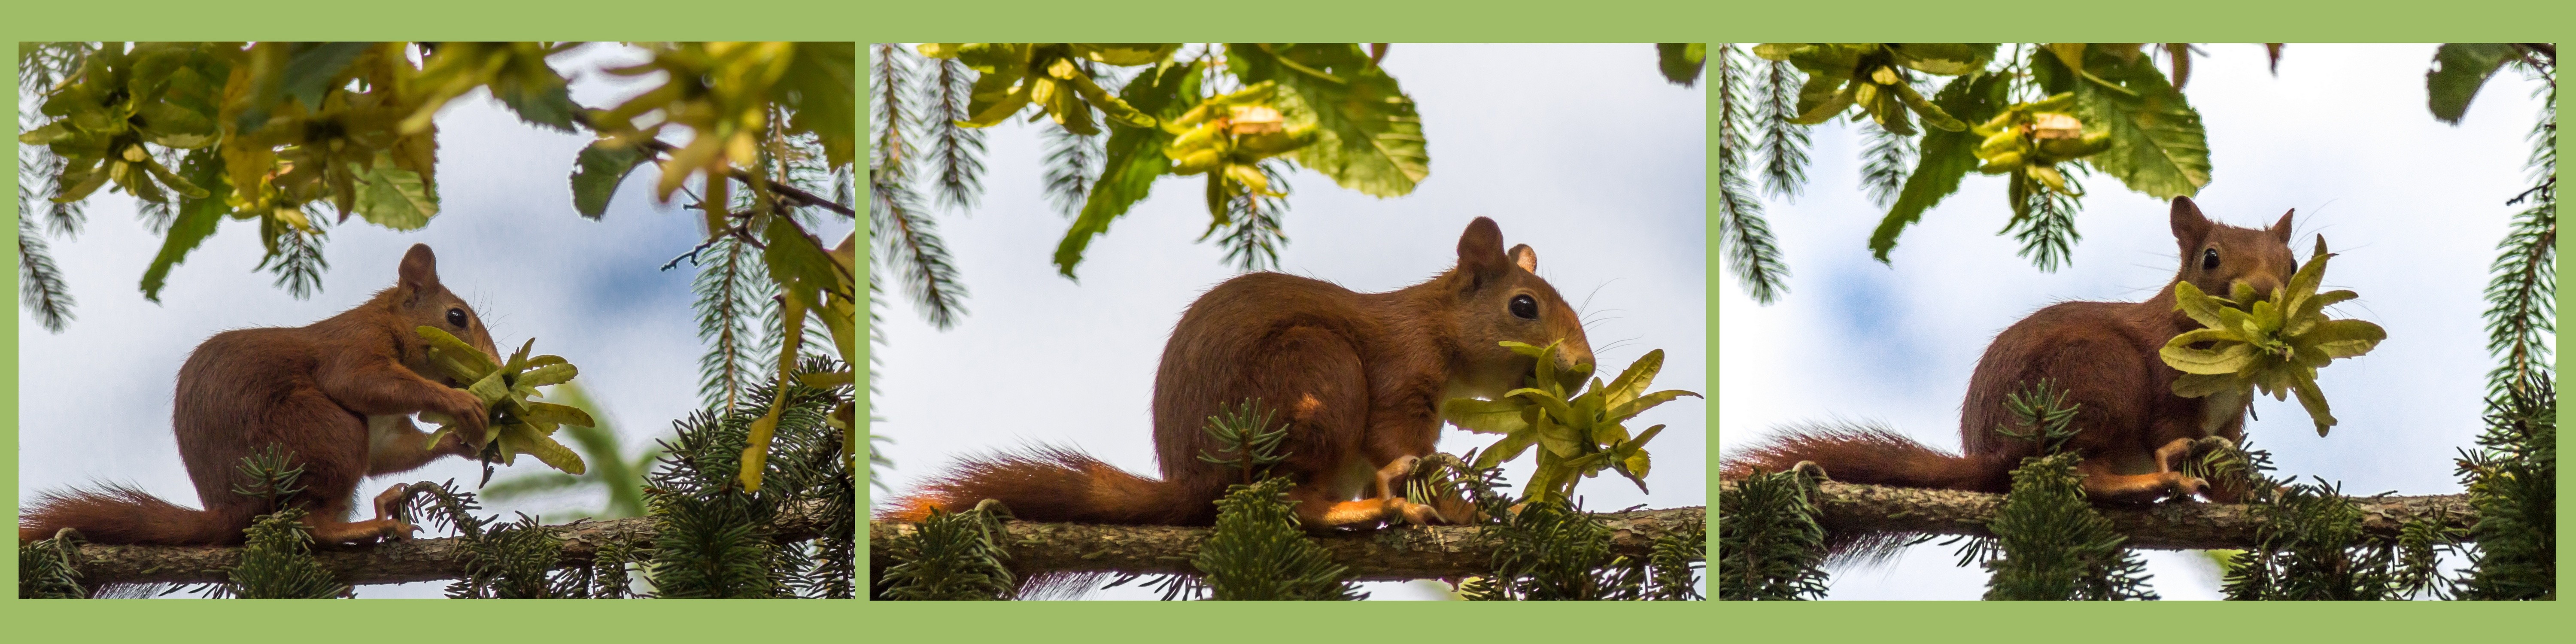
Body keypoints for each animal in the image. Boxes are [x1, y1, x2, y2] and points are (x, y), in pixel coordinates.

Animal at [21, 243, 497, 546]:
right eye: (457, 317)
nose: (495, 369)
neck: (388, 322)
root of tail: (230, 508)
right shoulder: (353, 347)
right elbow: (359, 383)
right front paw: (462, 405)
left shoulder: (387, 431)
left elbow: (392, 453)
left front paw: (462, 442)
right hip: (326, 433)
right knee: (314, 526)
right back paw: (370, 528)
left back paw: (384, 508)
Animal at [896, 216, 1597, 528]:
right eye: (1524, 307)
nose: (1586, 368)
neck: (1435, 325)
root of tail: (1195, 480)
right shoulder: (1403, 372)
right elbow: (1403, 448)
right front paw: (1467, 509)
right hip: (1319, 375)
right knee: (1296, 502)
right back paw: (1365, 509)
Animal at [1731, 196, 2298, 502]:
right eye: (2210, 259)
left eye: (2293, 264)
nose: (2265, 294)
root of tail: (1994, 453)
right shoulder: (2165, 386)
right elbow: (2167, 434)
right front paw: (2184, 464)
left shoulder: (2228, 423)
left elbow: (2227, 473)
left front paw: (2265, 496)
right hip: (2102, 377)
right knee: (2077, 472)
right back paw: (2144, 483)